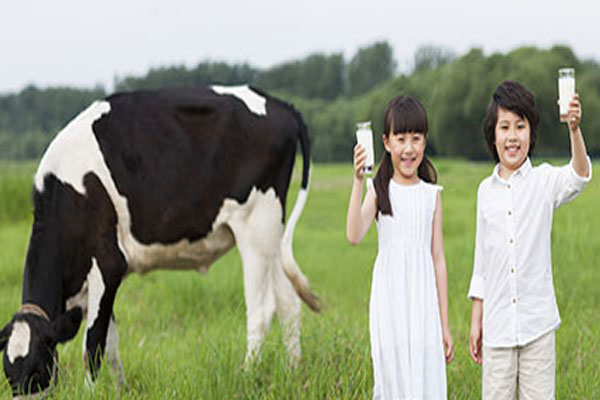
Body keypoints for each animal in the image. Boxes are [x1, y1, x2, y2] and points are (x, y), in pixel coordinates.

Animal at [0, 84, 322, 396]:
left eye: (36, 371)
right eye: (9, 376)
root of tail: (280, 105)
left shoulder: (108, 265)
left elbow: (93, 345)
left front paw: (90, 392)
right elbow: (111, 343)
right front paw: (121, 390)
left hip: (256, 227)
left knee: (261, 311)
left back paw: (246, 376)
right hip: (272, 235)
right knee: (289, 302)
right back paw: (294, 374)